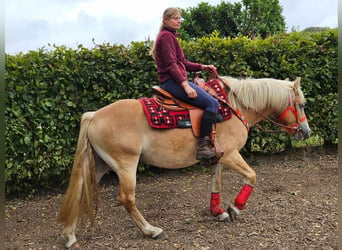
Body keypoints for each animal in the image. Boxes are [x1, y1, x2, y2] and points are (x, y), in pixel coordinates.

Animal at [58, 75, 310, 247]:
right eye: (301, 104)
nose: (306, 132)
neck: (234, 107)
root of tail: (94, 115)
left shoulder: (219, 156)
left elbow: (216, 183)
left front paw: (218, 211)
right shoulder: (231, 155)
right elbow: (252, 176)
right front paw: (236, 208)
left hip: (100, 164)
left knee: (78, 191)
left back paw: (70, 236)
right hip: (126, 165)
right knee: (127, 199)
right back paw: (151, 230)